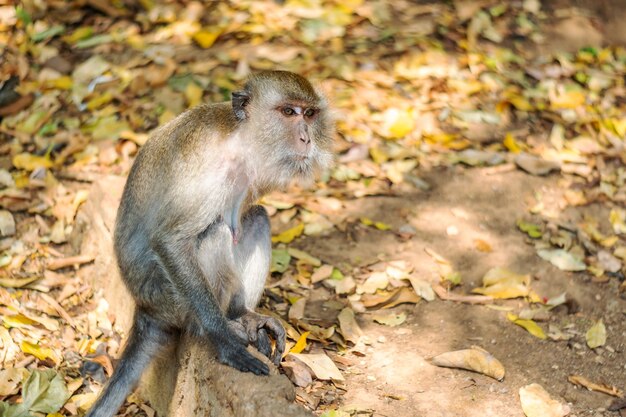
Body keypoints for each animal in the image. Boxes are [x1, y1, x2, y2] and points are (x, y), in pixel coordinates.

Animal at [85, 71, 334, 416]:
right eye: (288, 112)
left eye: (309, 114)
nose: (306, 138)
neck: (240, 139)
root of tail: (145, 307)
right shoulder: (208, 172)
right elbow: (171, 241)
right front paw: (223, 340)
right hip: (170, 300)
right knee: (214, 232)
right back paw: (212, 327)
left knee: (257, 217)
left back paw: (242, 314)